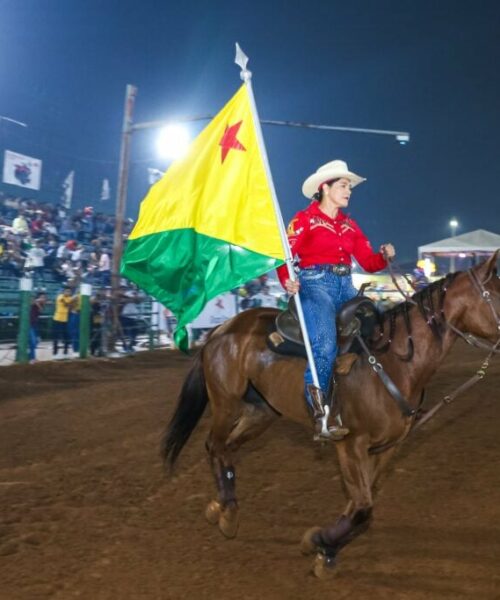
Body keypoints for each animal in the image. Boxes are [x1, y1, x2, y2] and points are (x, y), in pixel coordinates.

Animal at [162, 252, 498, 576]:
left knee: (228, 448)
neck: (394, 362)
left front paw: (326, 550)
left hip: (262, 412)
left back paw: (221, 507)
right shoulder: (350, 445)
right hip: (225, 402)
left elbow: (360, 505)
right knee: (214, 445)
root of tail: (221, 329)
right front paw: (317, 542)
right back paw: (228, 512)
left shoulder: (388, 448)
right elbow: (362, 508)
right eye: (496, 295)